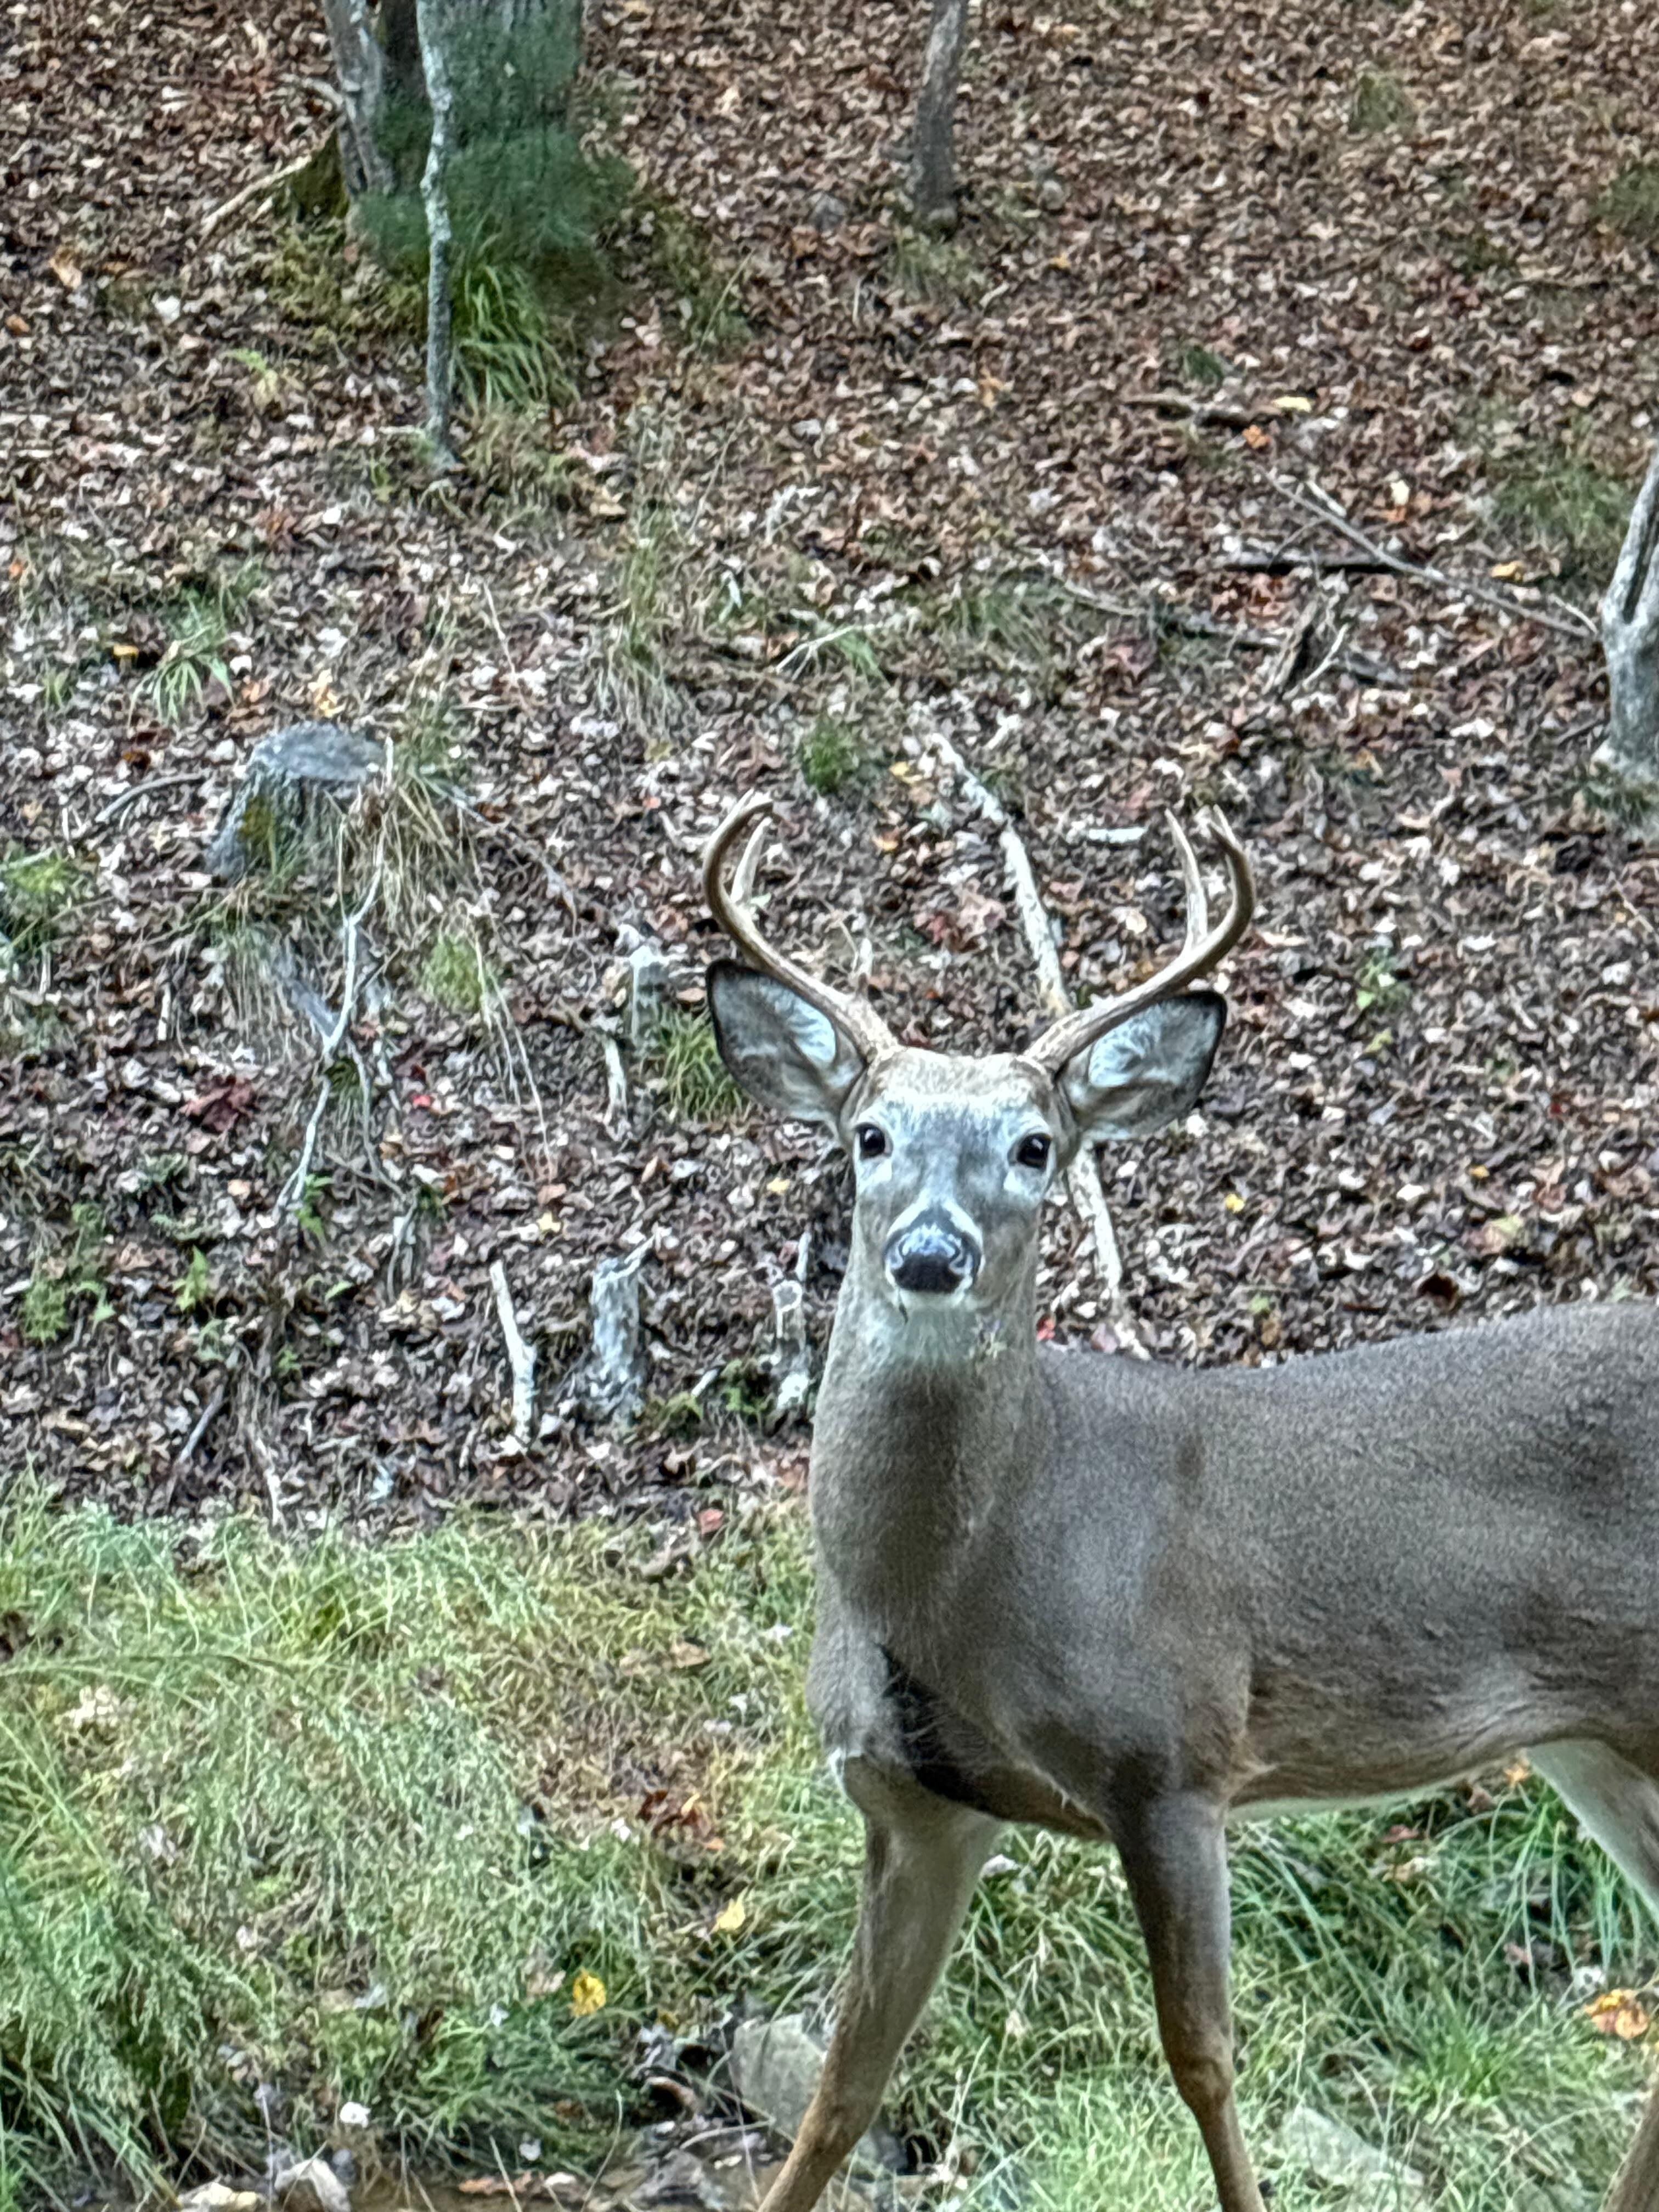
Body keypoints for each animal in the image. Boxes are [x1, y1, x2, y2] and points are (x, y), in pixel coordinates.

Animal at [700, 790, 1659, 2212]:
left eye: (1035, 1147)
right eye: (869, 1136)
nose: (930, 1254)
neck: (955, 1589)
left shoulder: (1173, 1754)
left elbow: (1202, 2059)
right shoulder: (916, 1808)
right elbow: (839, 2090)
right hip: (1589, 1741)